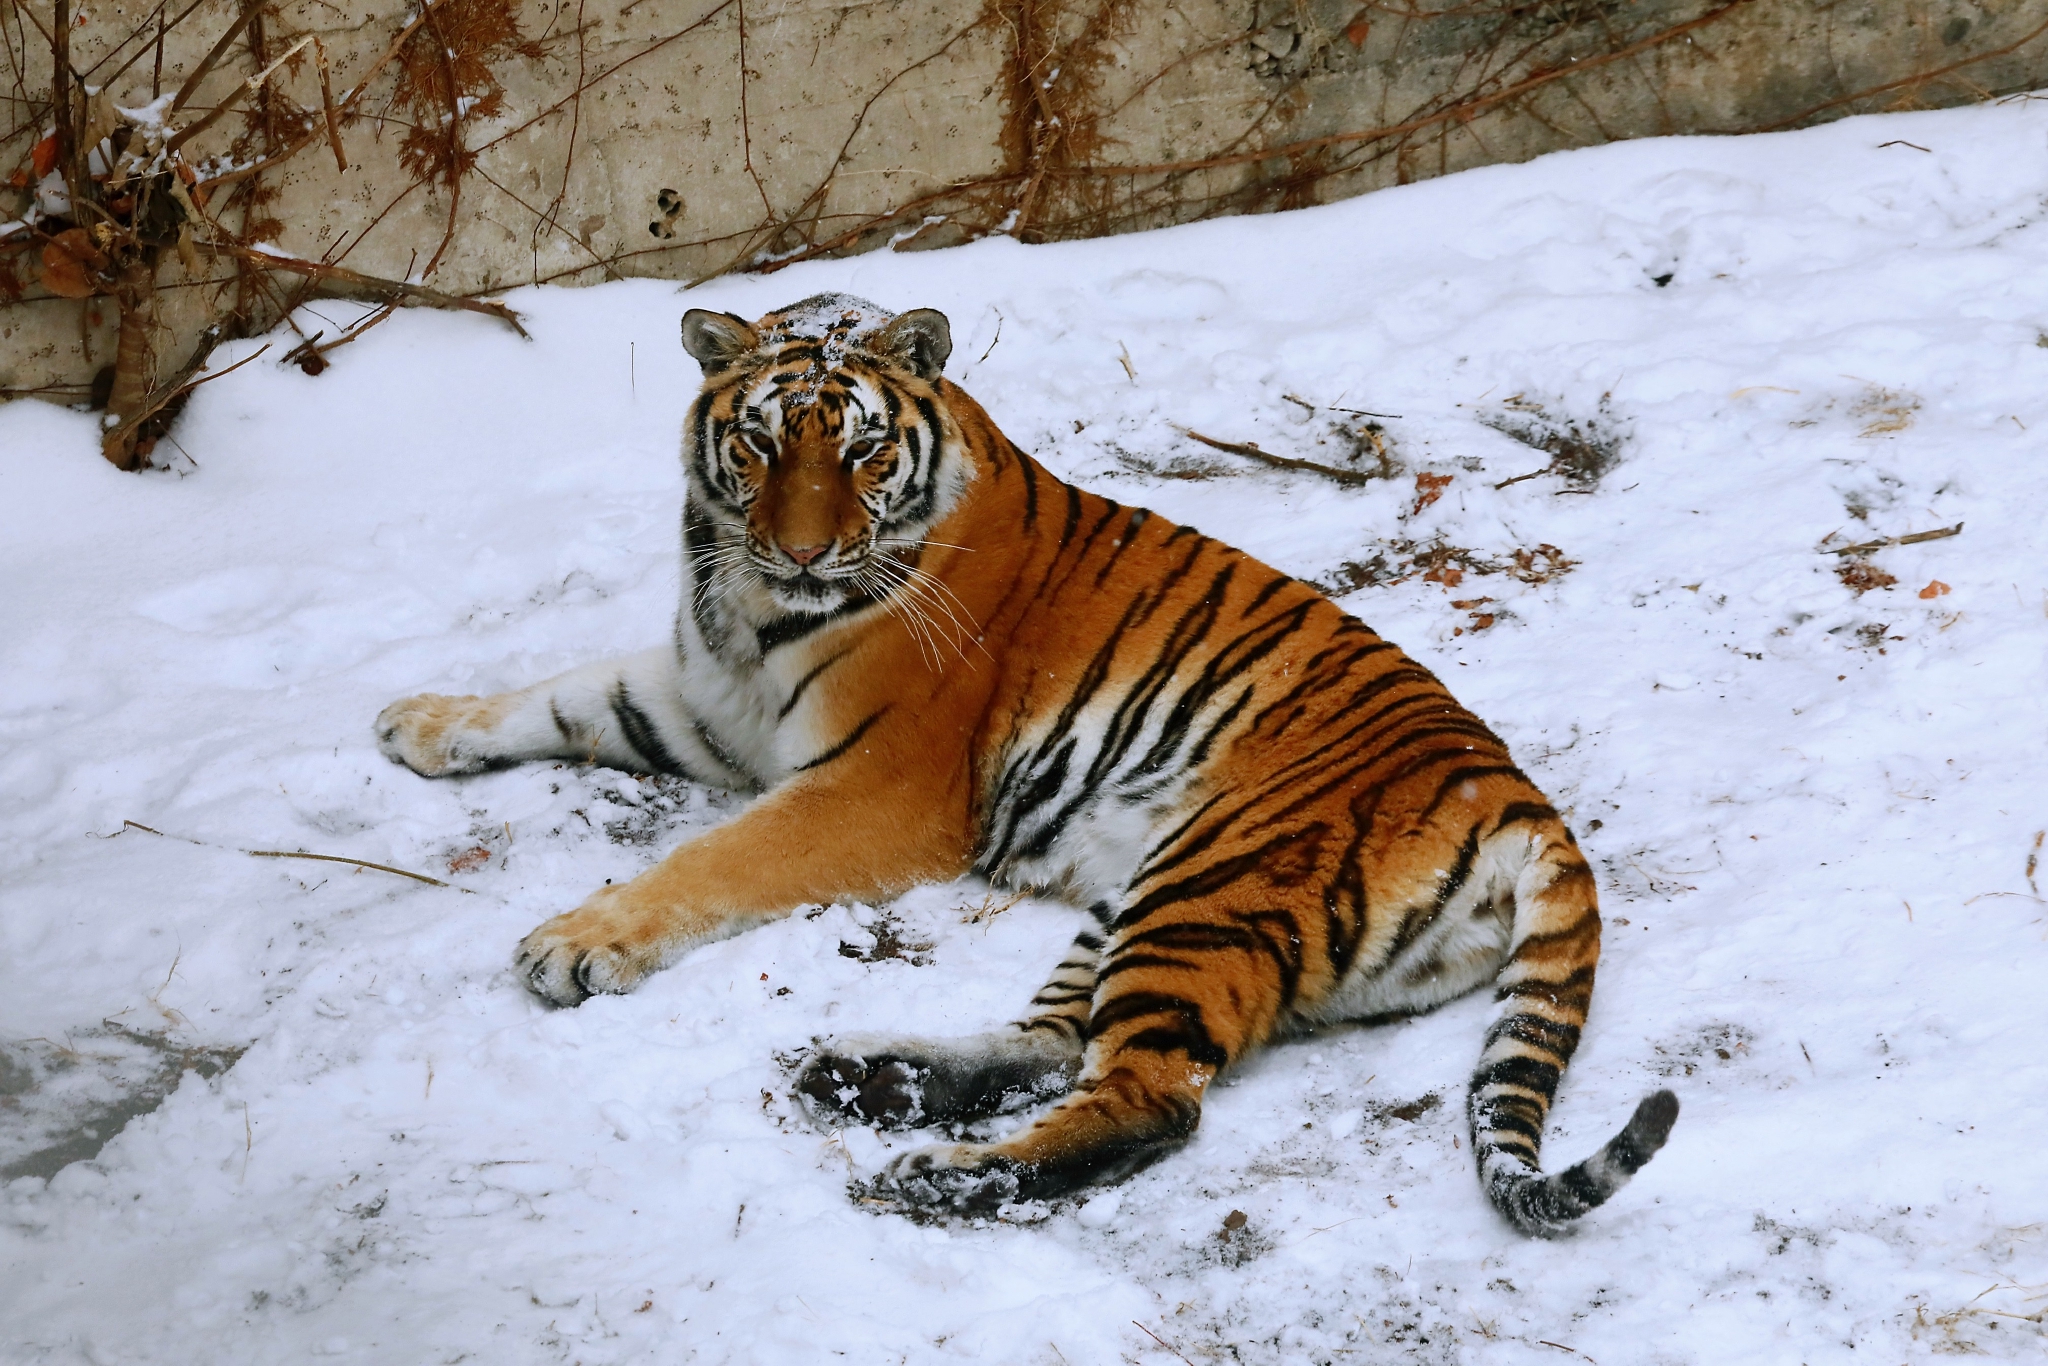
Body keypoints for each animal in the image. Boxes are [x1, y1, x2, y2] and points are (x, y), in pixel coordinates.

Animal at [372, 294, 1679, 1236]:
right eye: (756, 441)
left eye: (859, 451)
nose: (800, 552)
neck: (740, 599)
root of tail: (1524, 805)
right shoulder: (701, 701)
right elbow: (560, 692)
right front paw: (420, 721)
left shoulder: (869, 789)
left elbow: (712, 863)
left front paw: (572, 942)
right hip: (1139, 891)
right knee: (1056, 1045)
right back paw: (869, 1080)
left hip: (1206, 881)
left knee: (1150, 1101)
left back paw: (937, 1176)